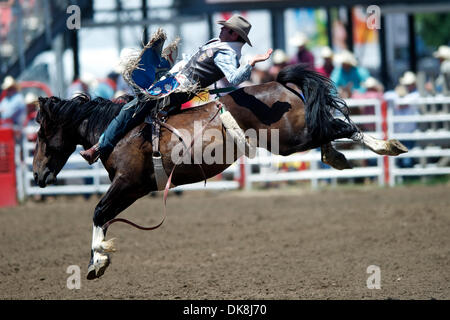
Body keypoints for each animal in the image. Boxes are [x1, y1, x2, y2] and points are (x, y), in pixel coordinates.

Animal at [30, 65, 404, 280]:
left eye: (41, 134)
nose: (36, 176)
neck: (120, 131)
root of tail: (282, 84)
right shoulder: (130, 189)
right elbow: (104, 217)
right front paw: (100, 258)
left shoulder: (129, 184)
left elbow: (98, 212)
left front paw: (96, 262)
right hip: (294, 138)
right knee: (328, 129)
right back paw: (338, 155)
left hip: (290, 139)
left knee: (340, 126)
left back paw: (385, 145)